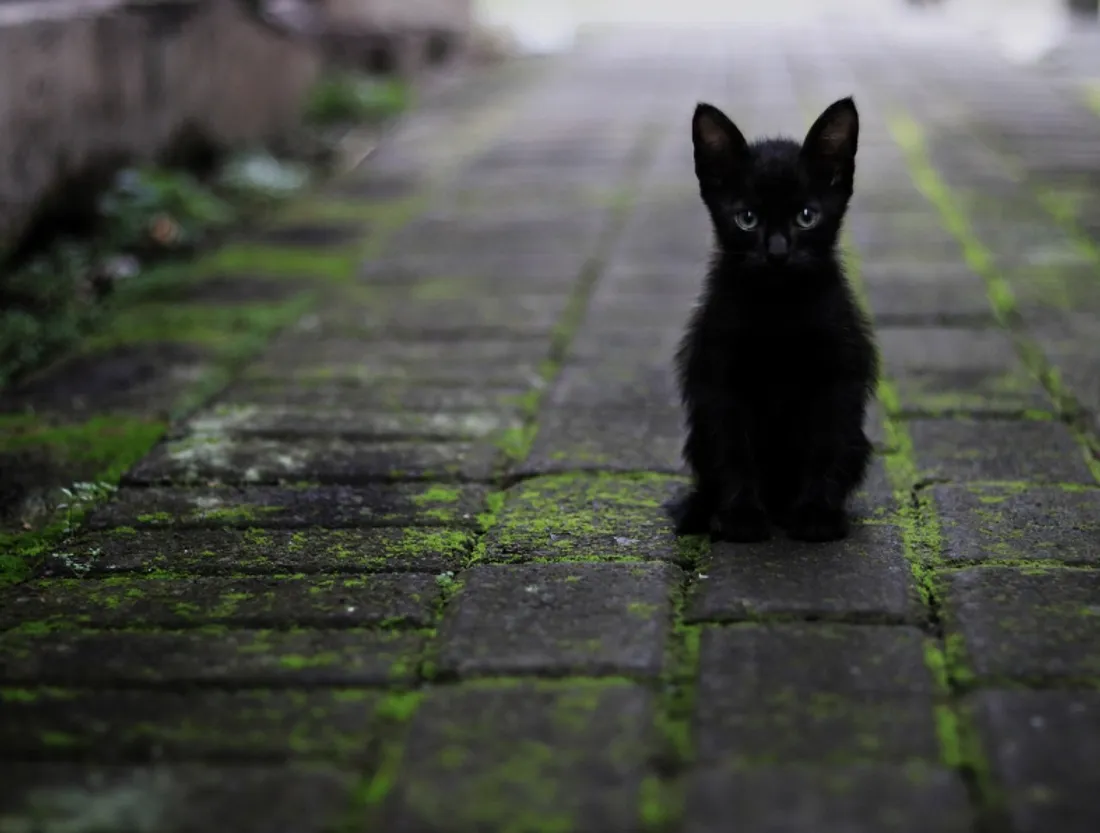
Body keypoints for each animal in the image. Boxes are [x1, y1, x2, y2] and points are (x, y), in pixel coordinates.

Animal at [668, 97, 875, 543]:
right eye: (746, 218)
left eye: (806, 216)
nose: (778, 252)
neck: (778, 309)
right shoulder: (719, 380)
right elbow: (733, 449)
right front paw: (742, 516)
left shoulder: (837, 378)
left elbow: (824, 445)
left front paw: (816, 514)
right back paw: (700, 511)